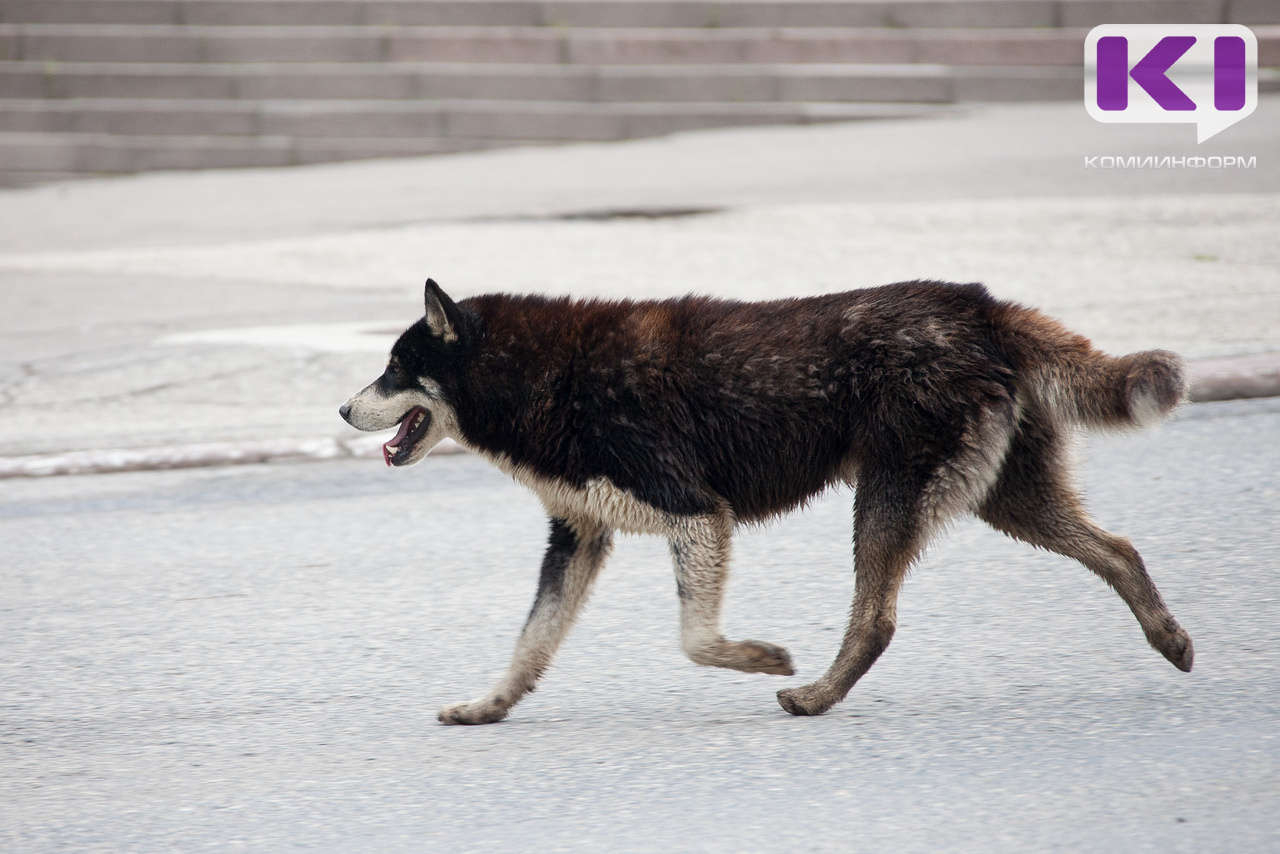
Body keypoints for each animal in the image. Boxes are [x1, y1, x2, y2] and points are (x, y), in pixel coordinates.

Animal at [337, 277, 1187, 727]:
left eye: (394, 368)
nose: (343, 410)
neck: (547, 375)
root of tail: (980, 305)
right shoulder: (579, 539)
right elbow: (531, 644)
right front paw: (489, 705)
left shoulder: (693, 513)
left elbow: (693, 640)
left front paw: (758, 657)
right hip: (1008, 499)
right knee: (1120, 550)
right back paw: (1170, 638)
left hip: (889, 499)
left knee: (875, 620)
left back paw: (813, 695)